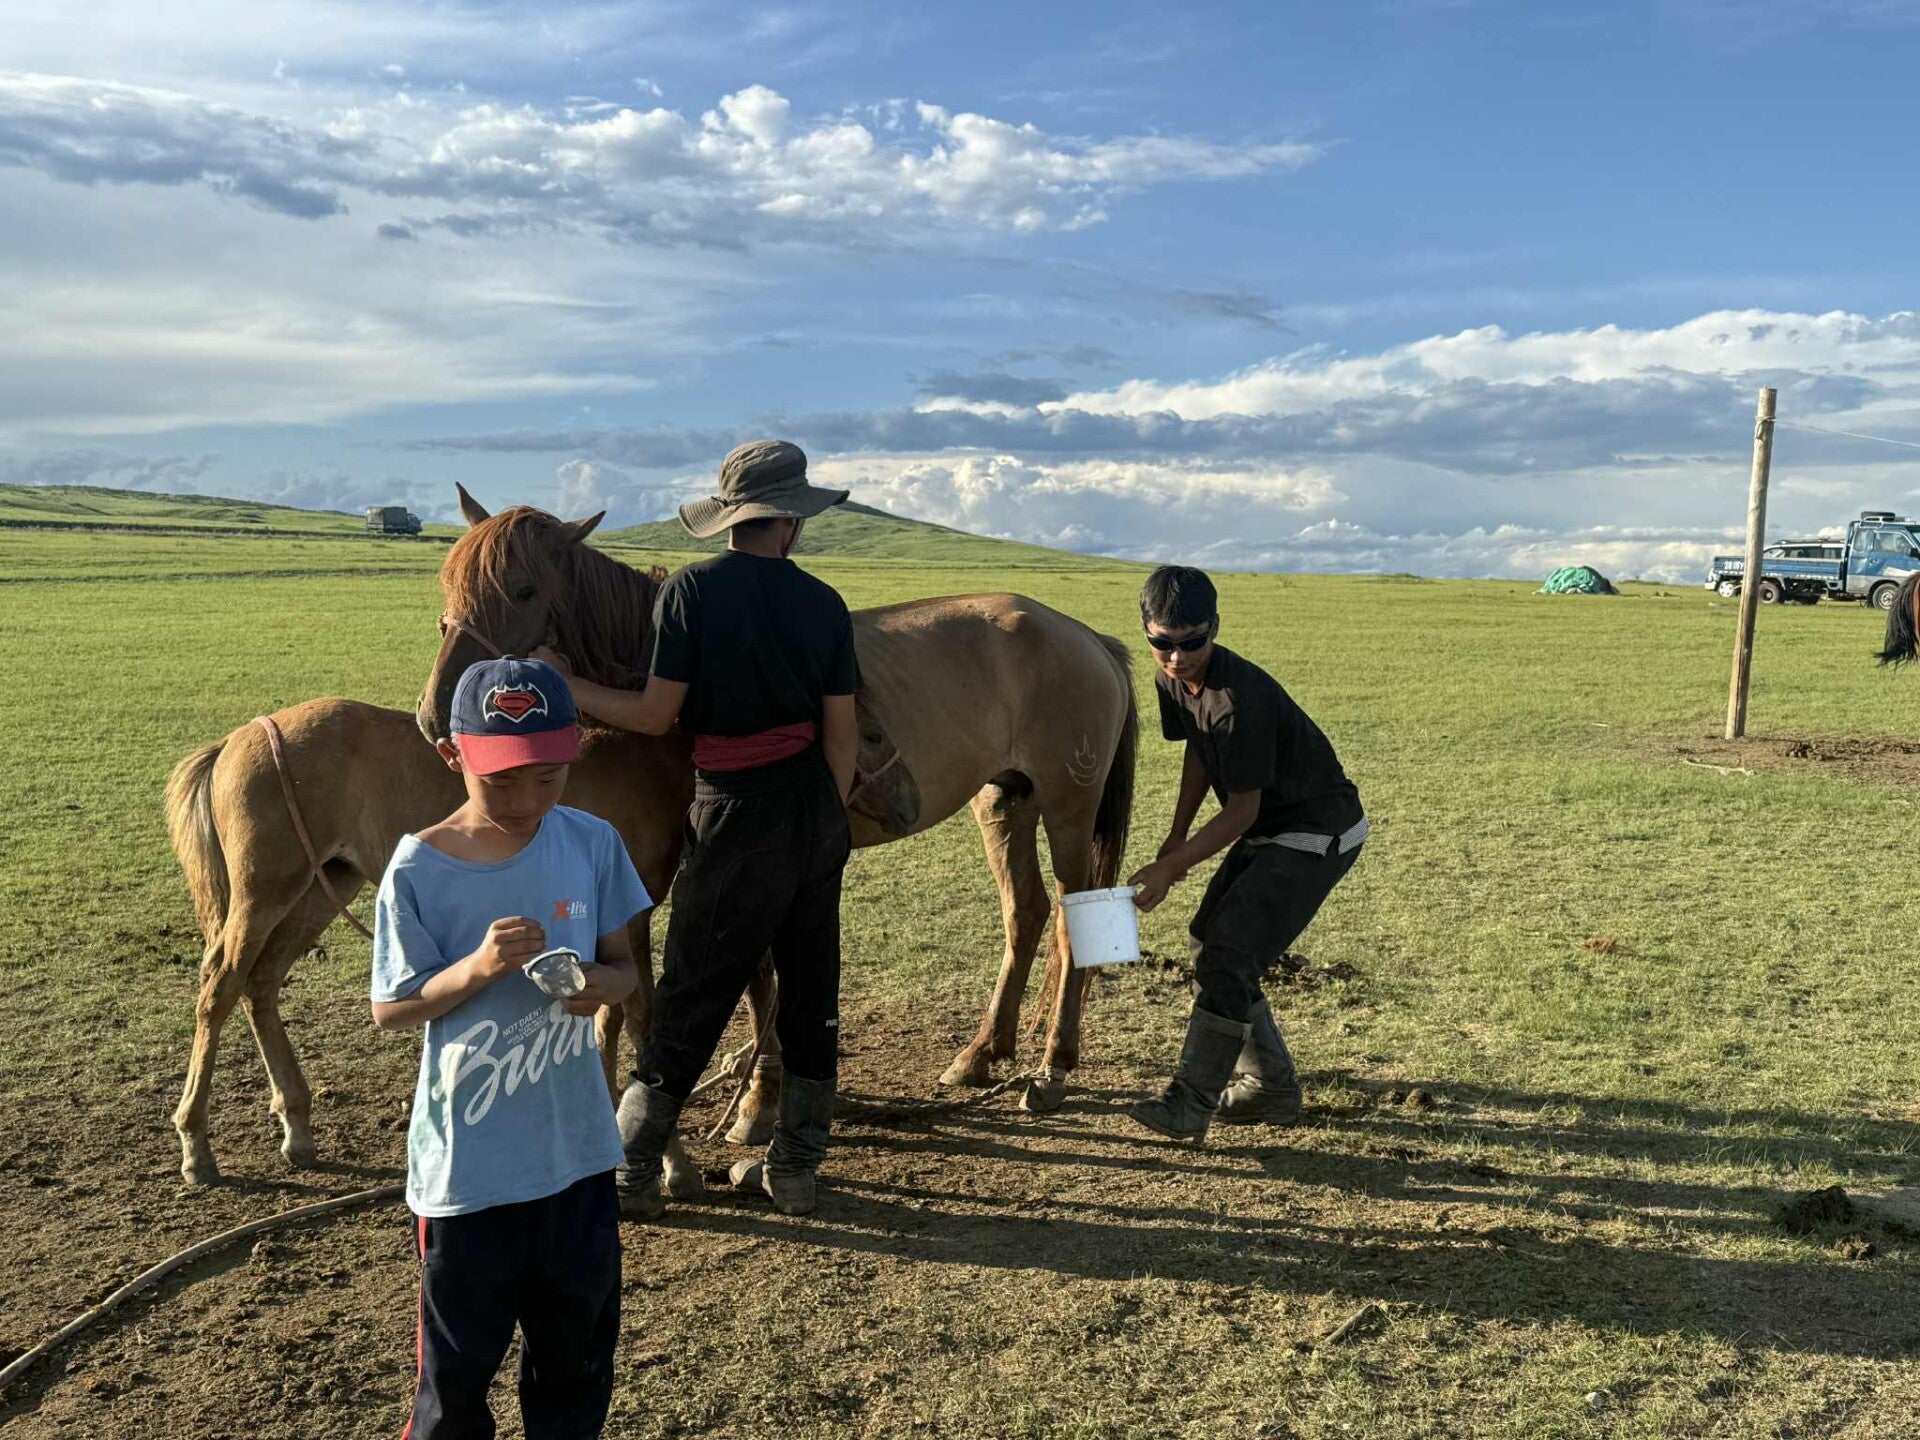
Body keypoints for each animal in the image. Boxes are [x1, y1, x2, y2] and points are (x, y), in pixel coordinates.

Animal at [417, 486, 1138, 1116]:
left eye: (524, 589)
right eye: (447, 585)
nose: (437, 716)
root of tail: (1085, 636)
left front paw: (757, 1091)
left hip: (1068, 809)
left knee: (1073, 916)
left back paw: (1053, 1065)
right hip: (1005, 802)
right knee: (1027, 912)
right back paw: (984, 1052)